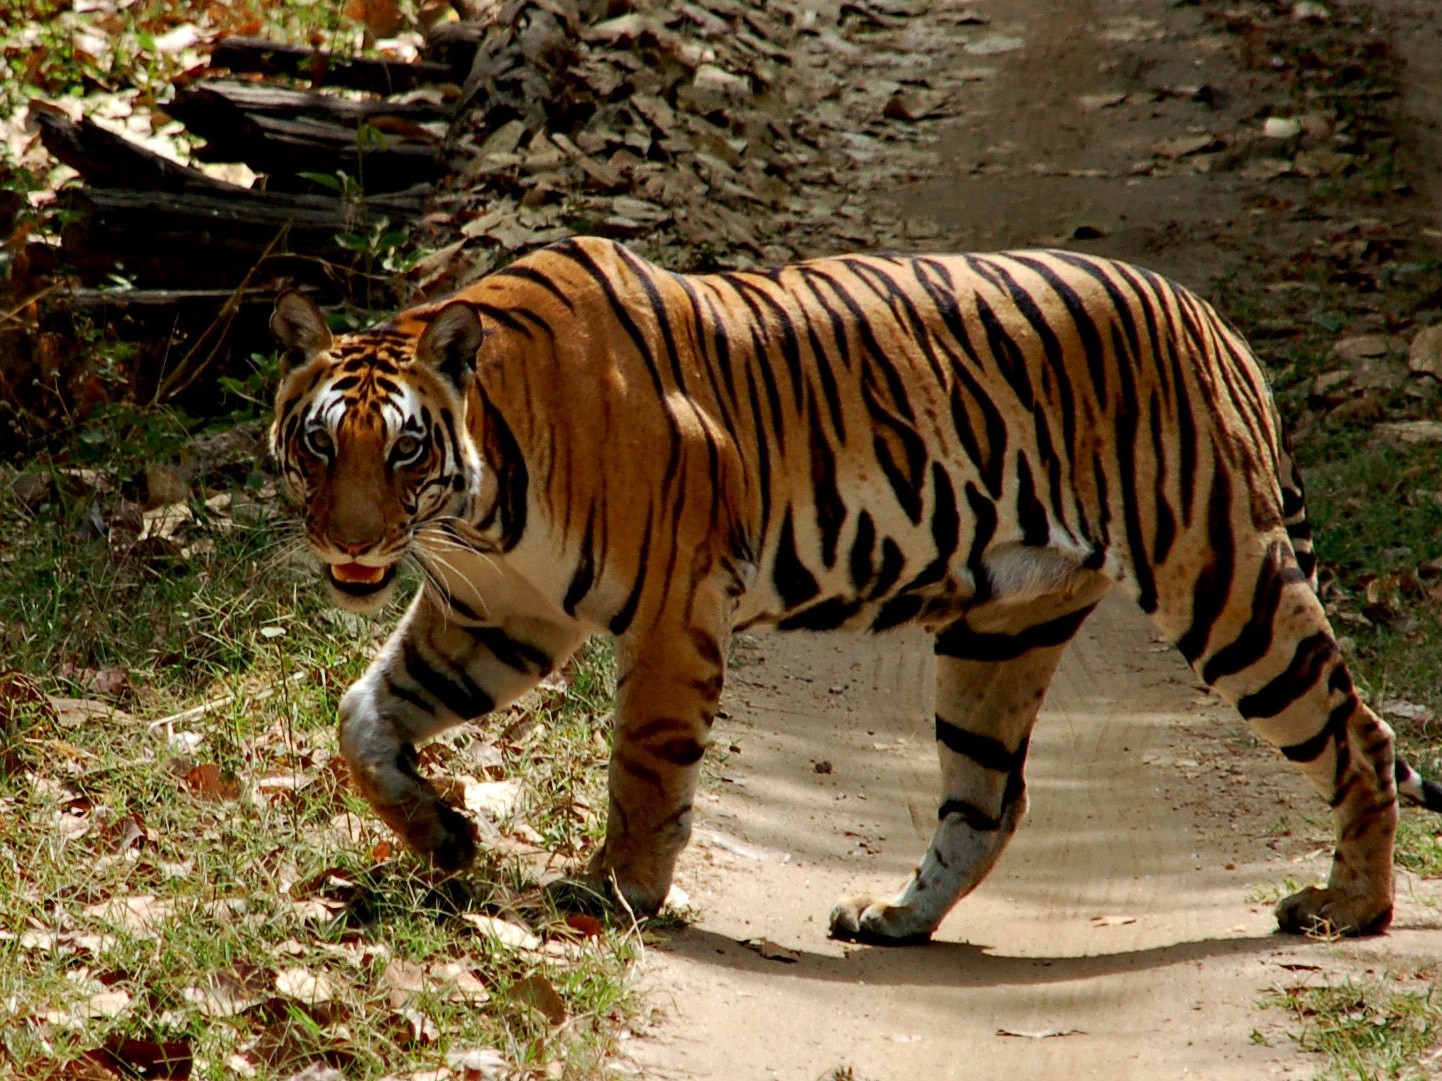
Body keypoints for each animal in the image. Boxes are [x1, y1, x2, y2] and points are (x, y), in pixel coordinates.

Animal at [271, 234, 1442, 939]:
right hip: (999, 632)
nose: (354, 543)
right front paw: (442, 833)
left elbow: (645, 766)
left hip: (1223, 583)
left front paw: (614, 891)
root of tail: (1213, 320)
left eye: (405, 449)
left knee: (1360, 735)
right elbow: (363, 714)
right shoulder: (495, 610)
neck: (481, 500)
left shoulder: (671, 608)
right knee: (989, 798)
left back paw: (1347, 906)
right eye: (321, 444)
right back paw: (891, 917)